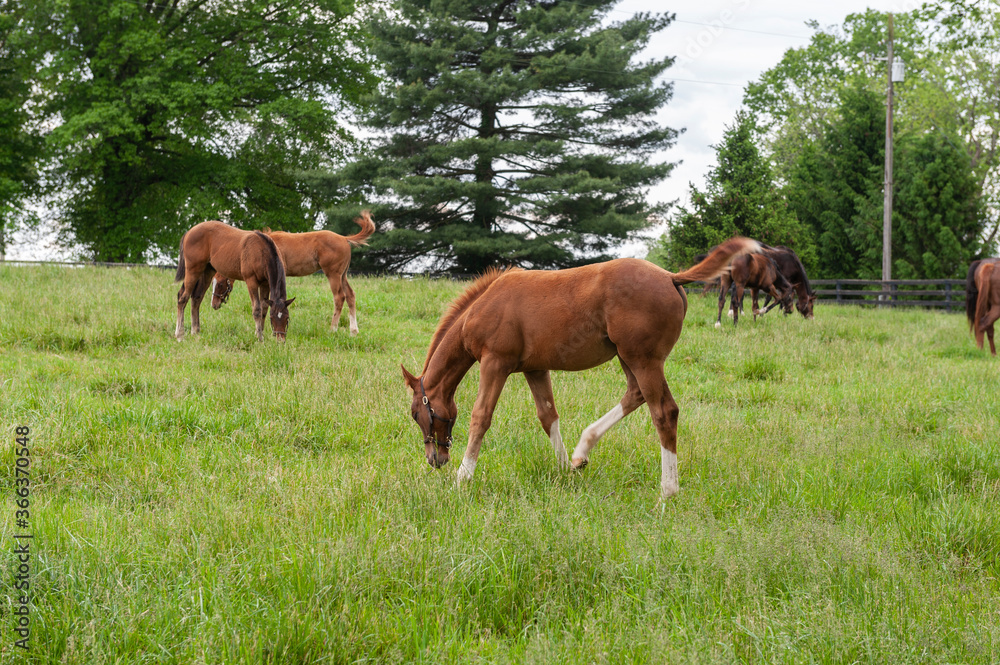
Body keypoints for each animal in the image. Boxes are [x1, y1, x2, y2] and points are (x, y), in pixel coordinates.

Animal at [211, 211, 376, 332]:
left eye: (220, 284)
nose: (214, 304)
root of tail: (343, 238)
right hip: (343, 275)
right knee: (350, 295)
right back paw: (354, 331)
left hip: (333, 275)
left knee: (339, 297)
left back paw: (333, 329)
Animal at [402, 237, 760, 498]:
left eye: (417, 414)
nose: (435, 460)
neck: (485, 304)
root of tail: (671, 277)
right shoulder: (535, 368)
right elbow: (548, 416)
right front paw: (564, 469)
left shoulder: (495, 362)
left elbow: (481, 417)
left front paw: (462, 477)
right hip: (630, 358)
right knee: (636, 395)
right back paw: (582, 451)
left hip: (643, 360)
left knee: (664, 412)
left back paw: (668, 491)